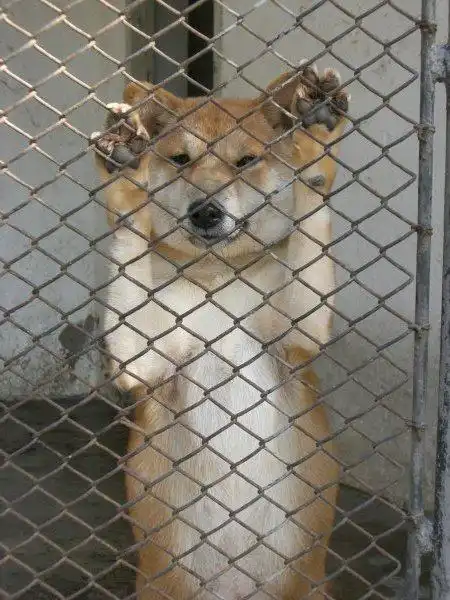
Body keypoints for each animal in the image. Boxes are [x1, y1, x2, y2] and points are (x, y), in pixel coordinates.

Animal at [92, 64, 349, 599]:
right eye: (180, 160)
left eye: (246, 161)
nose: (206, 211)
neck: (219, 278)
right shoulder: (142, 360)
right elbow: (128, 229)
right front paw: (127, 180)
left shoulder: (299, 331)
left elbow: (311, 197)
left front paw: (313, 139)